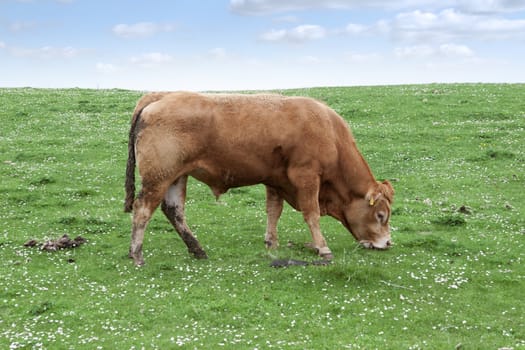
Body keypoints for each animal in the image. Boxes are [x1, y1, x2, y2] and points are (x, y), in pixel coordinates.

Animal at [124, 91, 392, 266]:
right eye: (380, 215)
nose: (388, 243)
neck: (330, 134)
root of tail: (160, 95)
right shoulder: (306, 176)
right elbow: (311, 213)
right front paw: (322, 247)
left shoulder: (276, 180)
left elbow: (274, 211)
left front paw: (271, 243)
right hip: (158, 178)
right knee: (143, 209)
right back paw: (137, 254)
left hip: (176, 177)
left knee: (174, 211)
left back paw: (197, 249)